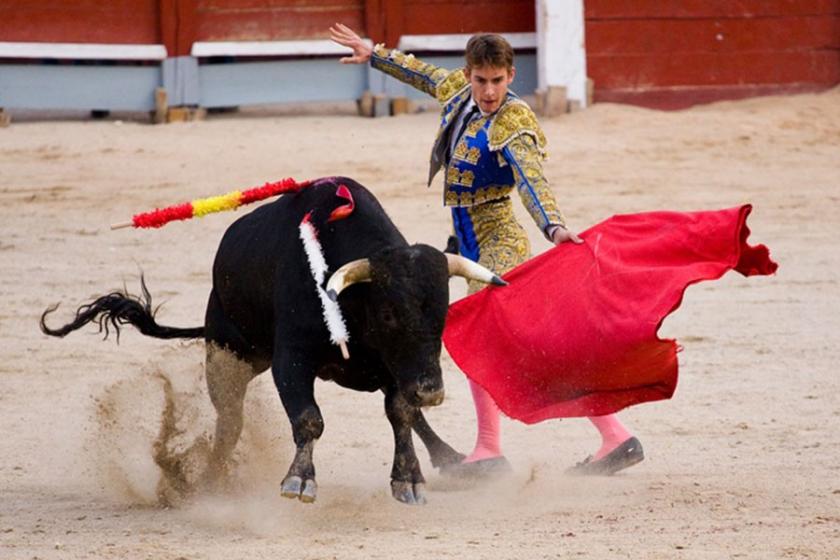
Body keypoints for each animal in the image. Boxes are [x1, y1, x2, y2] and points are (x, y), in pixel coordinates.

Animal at [41, 177, 506, 506]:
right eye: (390, 313)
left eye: (443, 313)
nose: (432, 391)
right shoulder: (292, 359)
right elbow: (309, 419)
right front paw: (298, 481)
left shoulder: (395, 368)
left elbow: (401, 414)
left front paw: (409, 479)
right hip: (227, 353)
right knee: (230, 421)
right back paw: (210, 482)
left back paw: (452, 458)